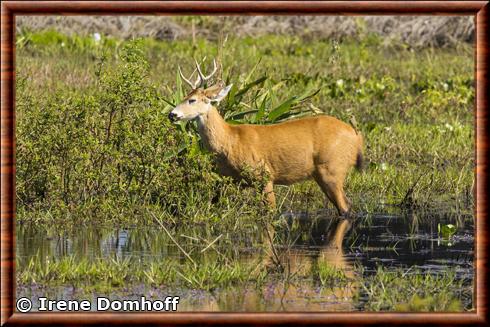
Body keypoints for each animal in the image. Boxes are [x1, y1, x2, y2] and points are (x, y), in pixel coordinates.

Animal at [168, 60, 364, 217]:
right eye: (184, 97)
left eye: (192, 100)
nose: (172, 114)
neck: (230, 140)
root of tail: (356, 136)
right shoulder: (228, 178)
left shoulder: (264, 174)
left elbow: (270, 213)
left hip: (332, 168)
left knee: (345, 208)